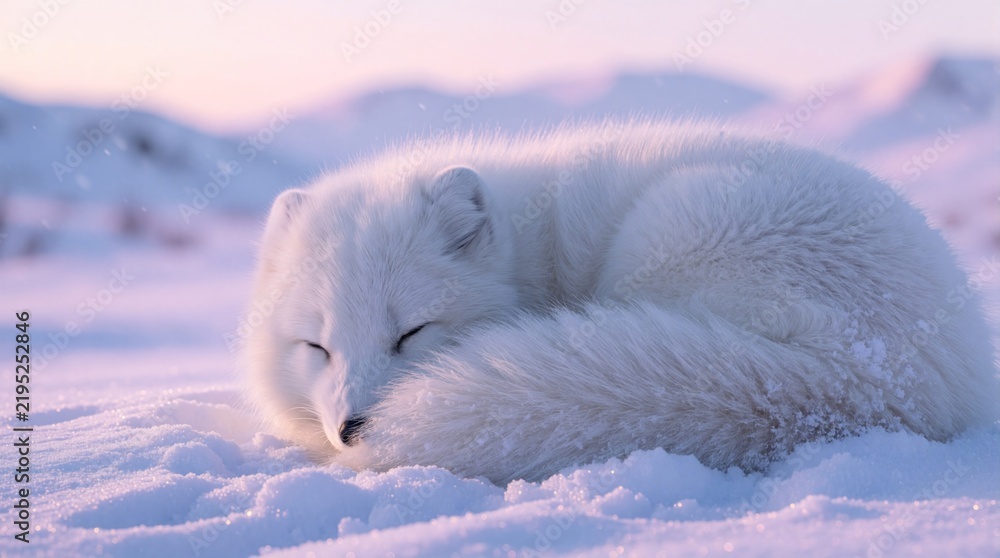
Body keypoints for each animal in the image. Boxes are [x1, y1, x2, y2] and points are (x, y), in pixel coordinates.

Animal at [243, 120, 998, 484]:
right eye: (317, 346)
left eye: (412, 332)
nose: (355, 430)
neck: (530, 249)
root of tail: (880, 375)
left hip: (668, 228)